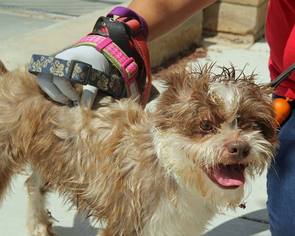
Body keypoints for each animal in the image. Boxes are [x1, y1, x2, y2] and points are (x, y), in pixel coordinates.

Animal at [0, 61, 278, 235]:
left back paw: (38, 225)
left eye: (251, 124)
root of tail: (10, 75)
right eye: (206, 125)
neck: (172, 172)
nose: (240, 147)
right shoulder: (127, 223)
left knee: (32, 183)